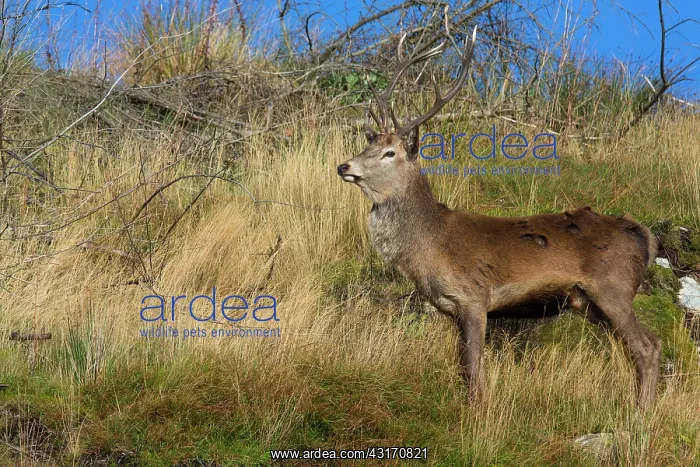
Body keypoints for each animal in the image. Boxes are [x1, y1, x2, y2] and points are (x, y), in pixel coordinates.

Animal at [337, 26, 661, 409]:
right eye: (368, 144)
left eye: (390, 152)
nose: (344, 166)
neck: (428, 245)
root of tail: (644, 236)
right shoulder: (451, 309)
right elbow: (461, 367)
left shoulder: (475, 296)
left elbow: (474, 369)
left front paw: (477, 413)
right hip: (589, 302)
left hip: (614, 286)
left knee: (648, 346)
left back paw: (642, 413)